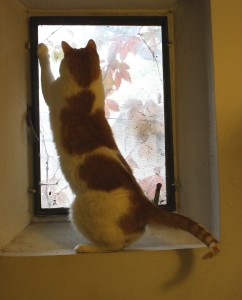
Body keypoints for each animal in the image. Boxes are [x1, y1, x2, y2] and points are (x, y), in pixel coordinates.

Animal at [37, 38, 219, 258]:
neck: (86, 84)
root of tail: (144, 203)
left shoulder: (52, 91)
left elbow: (45, 72)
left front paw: (42, 50)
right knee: (132, 237)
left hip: (78, 208)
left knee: (113, 245)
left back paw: (87, 247)